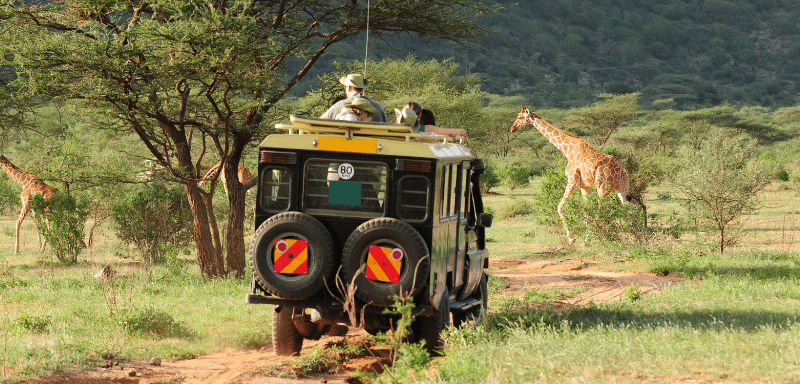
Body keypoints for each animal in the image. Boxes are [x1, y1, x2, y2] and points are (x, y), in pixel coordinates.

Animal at [506, 107, 632, 243]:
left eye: (520, 117)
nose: (512, 128)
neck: (567, 150)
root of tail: (623, 171)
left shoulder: (572, 181)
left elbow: (560, 207)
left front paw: (572, 239)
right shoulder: (584, 187)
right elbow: (586, 210)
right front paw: (587, 238)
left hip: (602, 186)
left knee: (602, 209)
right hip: (622, 188)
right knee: (629, 210)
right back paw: (633, 238)